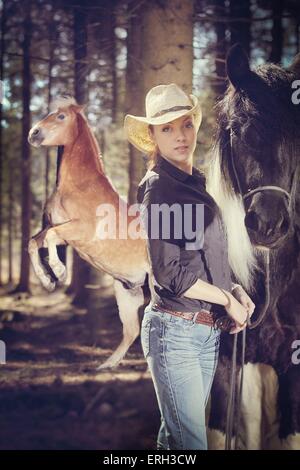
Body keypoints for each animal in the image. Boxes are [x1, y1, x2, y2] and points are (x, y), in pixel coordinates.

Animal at [27, 98, 152, 370]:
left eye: (61, 116)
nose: (34, 133)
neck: (78, 186)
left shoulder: (79, 231)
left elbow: (49, 240)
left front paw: (60, 273)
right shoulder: (57, 229)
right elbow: (34, 243)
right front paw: (48, 281)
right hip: (128, 292)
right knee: (132, 331)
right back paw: (106, 366)